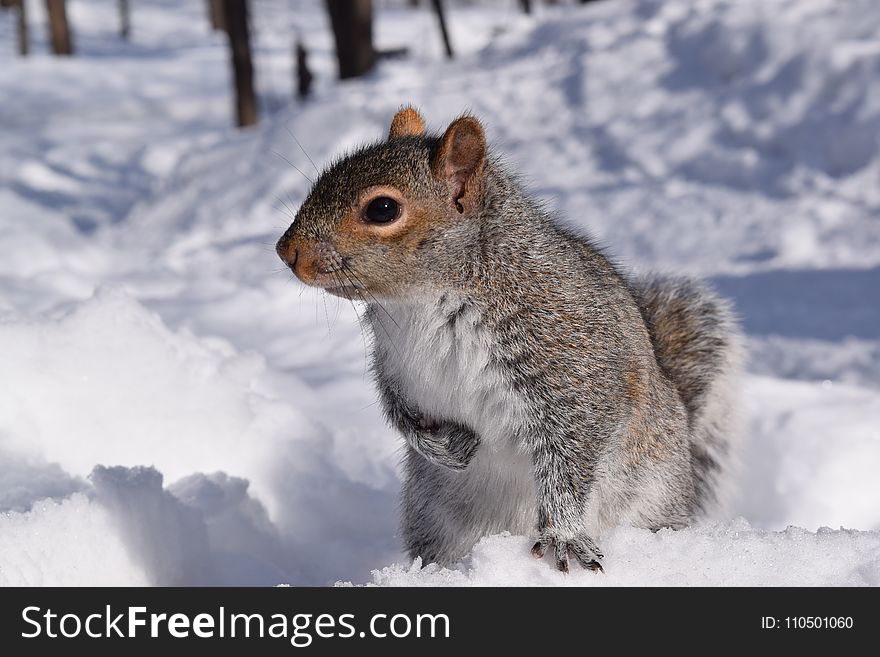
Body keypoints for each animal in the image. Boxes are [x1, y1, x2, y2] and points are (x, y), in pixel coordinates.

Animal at [276, 106, 744, 568]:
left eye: (383, 209)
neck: (422, 302)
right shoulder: (395, 364)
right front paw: (444, 446)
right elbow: (398, 410)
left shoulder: (576, 363)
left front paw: (563, 536)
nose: (286, 250)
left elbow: (572, 453)